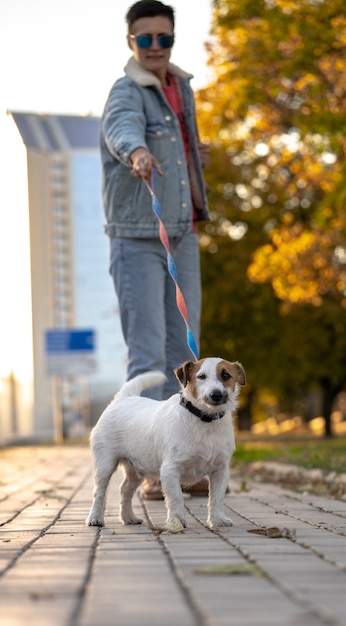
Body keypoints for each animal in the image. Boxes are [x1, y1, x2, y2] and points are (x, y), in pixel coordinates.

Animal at [86, 356, 246, 528]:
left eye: (226, 375)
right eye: (201, 376)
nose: (216, 394)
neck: (205, 420)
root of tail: (124, 398)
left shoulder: (220, 470)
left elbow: (216, 498)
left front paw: (217, 519)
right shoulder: (170, 470)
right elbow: (176, 497)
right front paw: (176, 520)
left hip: (137, 469)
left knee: (125, 490)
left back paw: (128, 517)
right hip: (105, 464)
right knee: (99, 492)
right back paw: (95, 518)